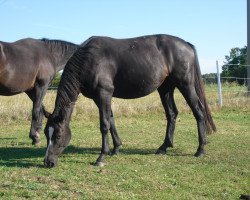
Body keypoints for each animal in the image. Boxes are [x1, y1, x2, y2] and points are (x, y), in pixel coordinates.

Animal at [43, 34, 215, 167]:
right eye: (46, 134)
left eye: (57, 135)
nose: (48, 162)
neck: (89, 58)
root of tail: (186, 44)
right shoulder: (100, 97)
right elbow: (111, 120)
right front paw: (116, 148)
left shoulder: (103, 93)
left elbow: (104, 124)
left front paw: (101, 157)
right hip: (165, 88)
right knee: (172, 114)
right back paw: (163, 147)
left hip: (185, 84)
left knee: (198, 111)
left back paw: (200, 149)